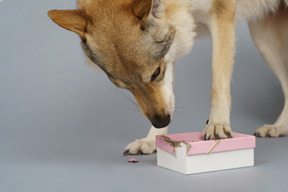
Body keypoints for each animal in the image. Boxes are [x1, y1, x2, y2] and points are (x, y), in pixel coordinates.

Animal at [47, 0, 288, 155]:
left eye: (155, 72)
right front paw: (153, 139)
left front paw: (217, 124)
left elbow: (217, 82)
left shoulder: (221, 16)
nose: (161, 120)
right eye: (122, 86)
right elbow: (167, 97)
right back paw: (280, 127)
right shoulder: (171, 46)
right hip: (265, 44)